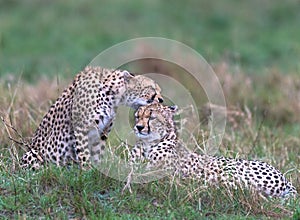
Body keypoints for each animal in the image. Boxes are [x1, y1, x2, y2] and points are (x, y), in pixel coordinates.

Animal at [20, 66, 164, 169]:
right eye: (151, 88)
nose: (161, 100)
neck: (113, 95)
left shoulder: (102, 132)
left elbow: (97, 152)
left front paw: (96, 170)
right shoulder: (81, 128)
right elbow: (84, 153)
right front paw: (87, 171)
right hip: (32, 154)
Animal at [131, 102, 298, 198]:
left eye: (152, 117)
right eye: (138, 116)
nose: (138, 127)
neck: (148, 143)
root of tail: (282, 176)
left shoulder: (160, 173)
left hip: (231, 173)